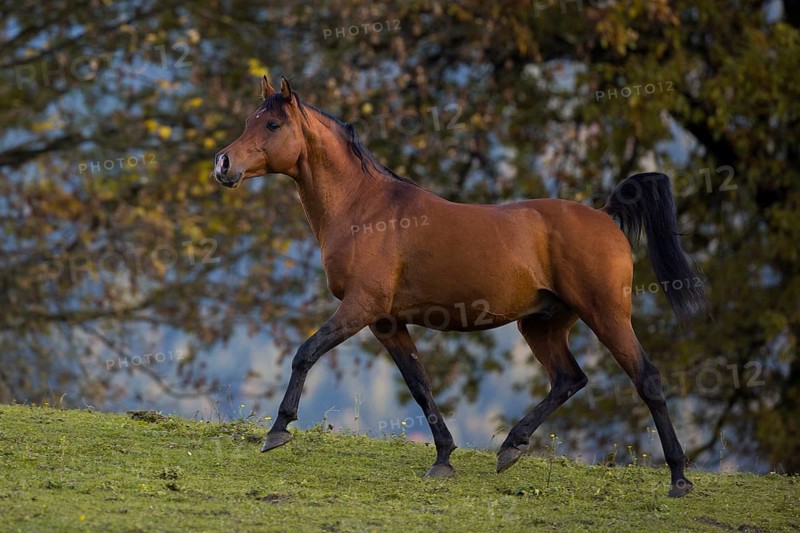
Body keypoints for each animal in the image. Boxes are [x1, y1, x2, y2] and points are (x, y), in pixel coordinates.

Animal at [213, 74, 707, 497]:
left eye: (272, 123)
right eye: (248, 121)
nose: (223, 164)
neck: (365, 209)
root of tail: (605, 217)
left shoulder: (360, 309)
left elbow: (306, 352)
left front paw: (277, 430)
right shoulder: (386, 322)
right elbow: (420, 385)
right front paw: (444, 459)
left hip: (605, 314)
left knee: (647, 380)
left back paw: (679, 479)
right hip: (542, 324)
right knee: (569, 378)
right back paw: (511, 447)